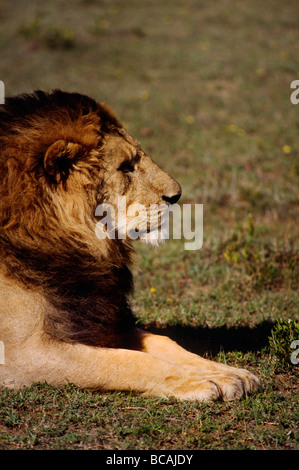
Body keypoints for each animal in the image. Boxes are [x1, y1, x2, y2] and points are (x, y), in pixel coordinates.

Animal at [0, 91, 260, 400]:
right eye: (125, 167)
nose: (177, 195)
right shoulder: (24, 355)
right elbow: (131, 362)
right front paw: (200, 381)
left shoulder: (109, 323)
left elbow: (165, 342)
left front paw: (227, 372)